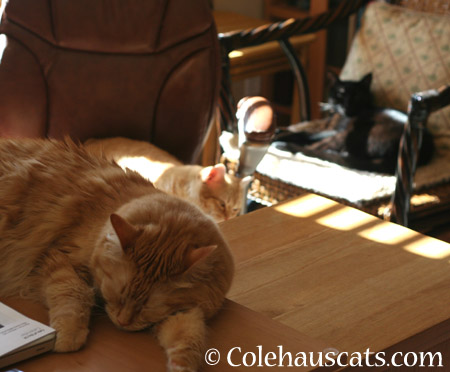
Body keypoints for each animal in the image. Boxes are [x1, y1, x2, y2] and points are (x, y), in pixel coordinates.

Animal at [0, 137, 232, 372]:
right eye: (119, 296)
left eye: (146, 307)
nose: (123, 322)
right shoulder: (56, 256)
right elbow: (75, 294)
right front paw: (68, 337)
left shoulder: (187, 310)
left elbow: (189, 336)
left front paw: (181, 366)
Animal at [272, 72, 434, 174]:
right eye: (340, 94)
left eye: (357, 95)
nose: (347, 105)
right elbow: (307, 130)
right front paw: (280, 130)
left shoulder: (334, 130)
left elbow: (306, 133)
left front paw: (280, 134)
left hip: (348, 134)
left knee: (313, 148)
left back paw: (283, 144)